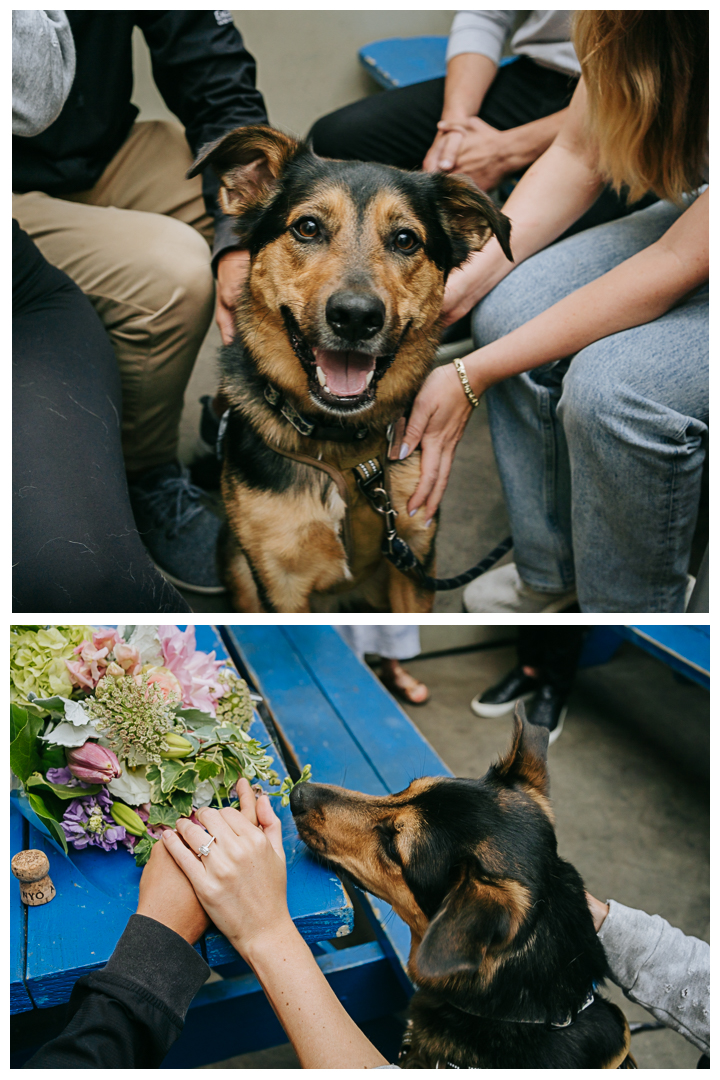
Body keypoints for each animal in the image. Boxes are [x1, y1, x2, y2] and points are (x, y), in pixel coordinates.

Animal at [187, 125, 511, 613]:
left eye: (405, 240)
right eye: (307, 228)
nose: (356, 317)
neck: (341, 444)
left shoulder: (414, 556)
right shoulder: (279, 583)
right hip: (237, 565)